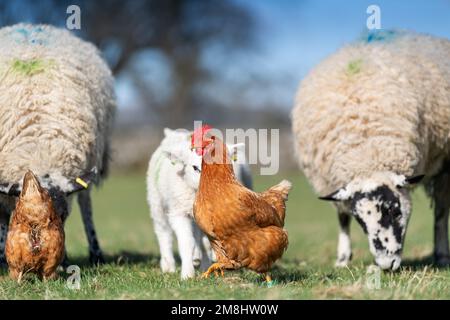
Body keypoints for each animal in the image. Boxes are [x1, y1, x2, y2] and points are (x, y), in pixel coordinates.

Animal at [0, 23, 116, 264]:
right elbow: (3, 217)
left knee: (85, 202)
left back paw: (96, 252)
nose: (59, 263)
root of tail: (31, 26)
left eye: (63, 216)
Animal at [148, 127, 253, 278]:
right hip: (157, 203)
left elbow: (206, 243)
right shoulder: (179, 213)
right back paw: (168, 265)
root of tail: (175, 133)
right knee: (164, 233)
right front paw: (187, 274)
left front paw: (206, 267)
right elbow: (186, 242)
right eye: (195, 167)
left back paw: (198, 259)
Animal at [292, 29, 450, 270]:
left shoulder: (443, 161)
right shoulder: (331, 182)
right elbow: (342, 218)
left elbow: (441, 211)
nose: (386, 264)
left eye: (395, 211)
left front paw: (441, 255)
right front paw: (342, 258)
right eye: (361, 221)